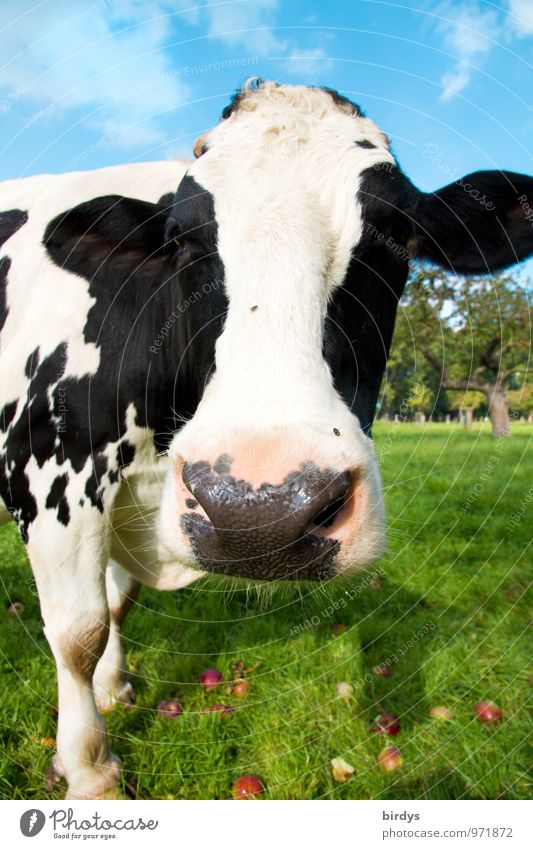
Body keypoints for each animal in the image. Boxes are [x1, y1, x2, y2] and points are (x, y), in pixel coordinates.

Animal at [3, 78, 532, 796]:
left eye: (395, 235)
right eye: (181, 238)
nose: (258, 509)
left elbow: (115, 606)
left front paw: (115, 691)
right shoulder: (47, 472)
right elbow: (78, 631)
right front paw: (90, 770)